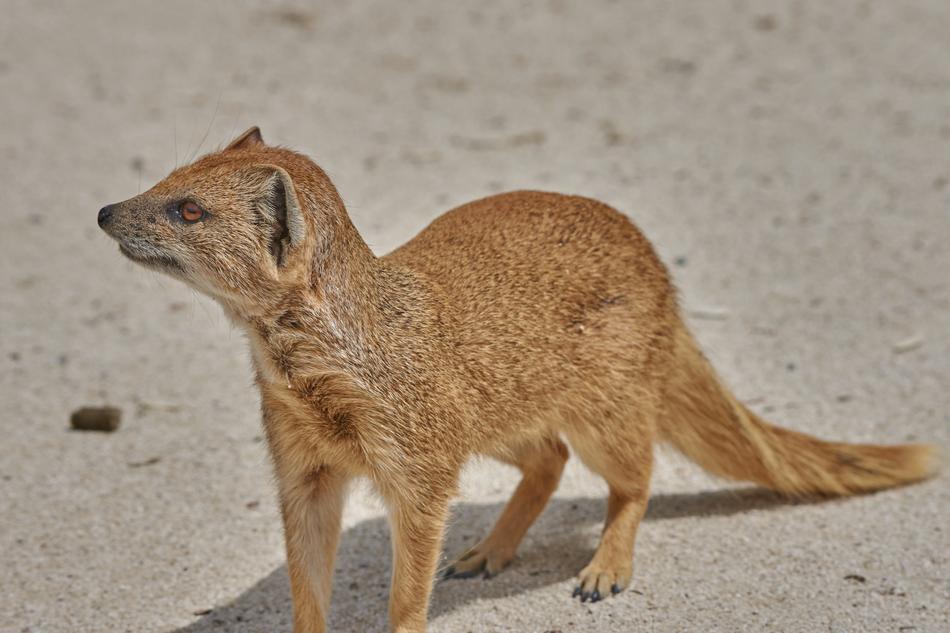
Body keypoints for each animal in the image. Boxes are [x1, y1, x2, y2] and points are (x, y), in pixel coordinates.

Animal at [98, 127, 937, 633]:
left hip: (609, 395)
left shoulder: (419, 456)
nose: (107, 211)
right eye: (171, 173)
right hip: (494, 411)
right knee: (548, 457)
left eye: (189, 209)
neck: (322, 373)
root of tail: (660, 271)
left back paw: (605, 566)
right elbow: (307, 569)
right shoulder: (301, 461)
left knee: (631, 473)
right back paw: (487, 552)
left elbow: (410, 575)